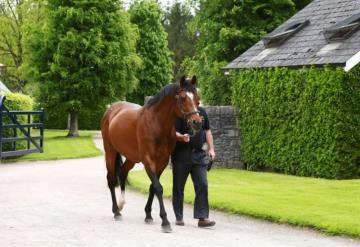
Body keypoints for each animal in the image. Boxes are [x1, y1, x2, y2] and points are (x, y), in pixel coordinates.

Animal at [100, 76, 202, 233]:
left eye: (197, 98)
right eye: (183, 97)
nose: (197, 123)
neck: (156, 123)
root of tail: (111, 109)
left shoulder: (162, 162)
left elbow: (153, 187)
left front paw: (148, 215)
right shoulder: (148, 160)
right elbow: (158, 188)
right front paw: (165, 221)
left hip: (131, 158)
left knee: (122, 173)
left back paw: (121, 203)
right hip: (110, 151)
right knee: (111, 179)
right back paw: (116, 211)